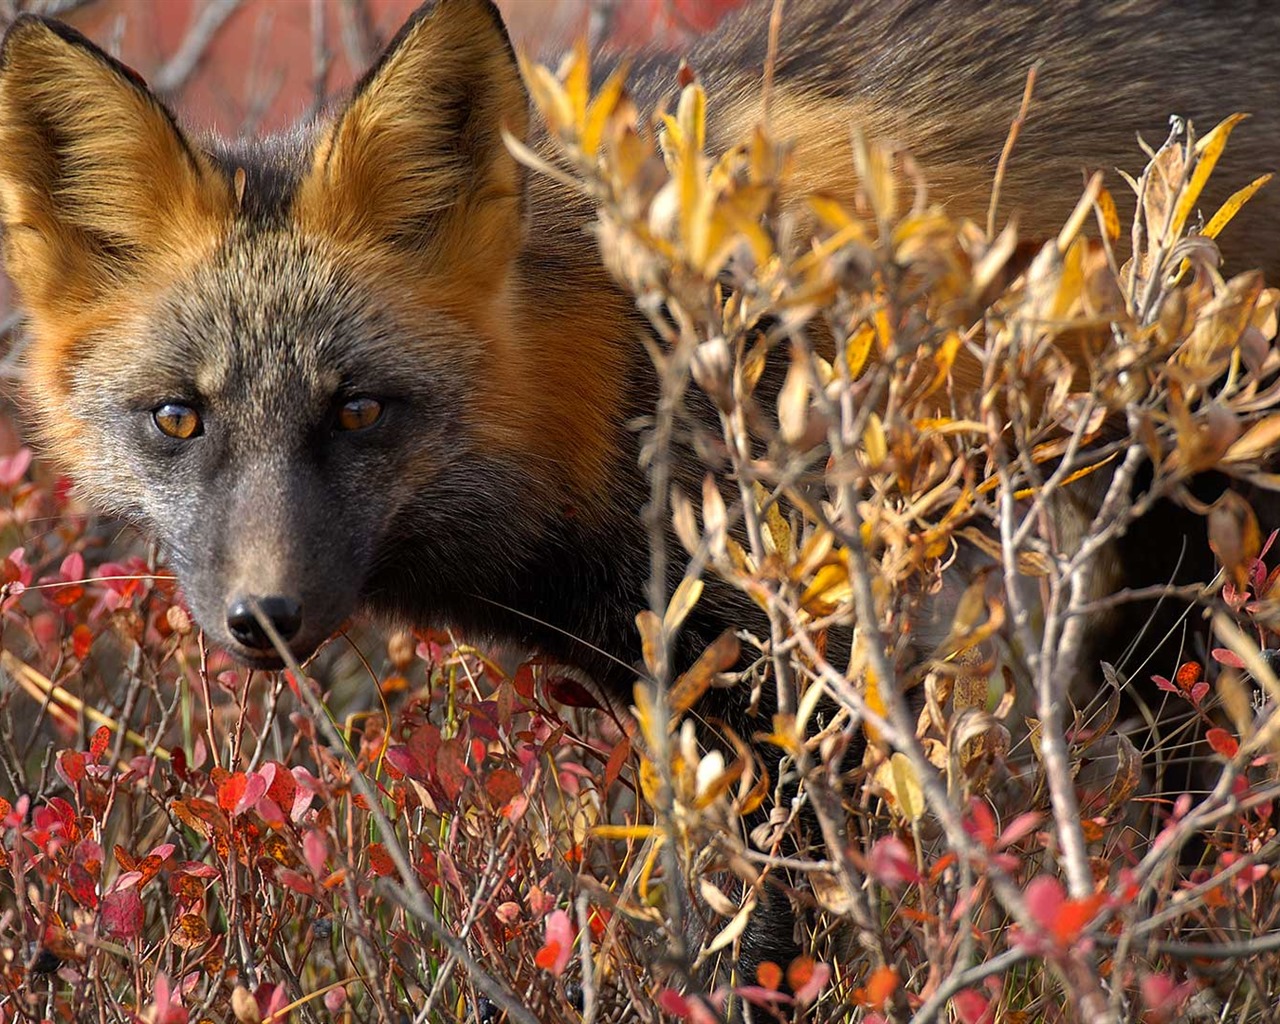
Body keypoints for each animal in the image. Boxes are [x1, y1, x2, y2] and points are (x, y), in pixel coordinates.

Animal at [2, 0, 1280, 998]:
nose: (262, 619)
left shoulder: (803, 686)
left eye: (358, 411)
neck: (612, 371)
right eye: (179, 418)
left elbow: (772, 948)